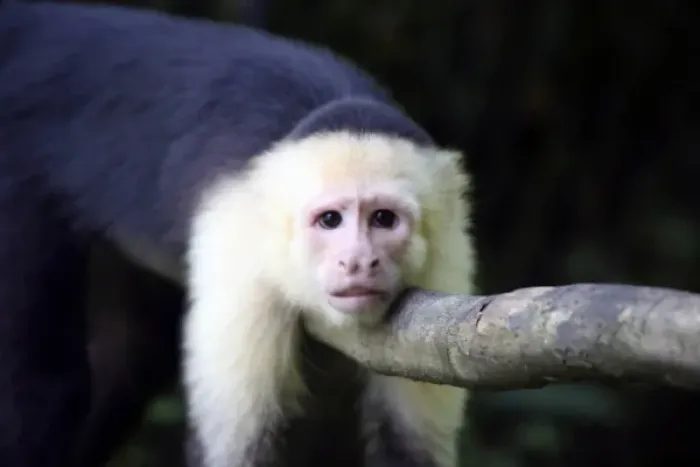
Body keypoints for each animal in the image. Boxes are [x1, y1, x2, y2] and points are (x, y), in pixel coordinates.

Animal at [0, 2, 475, 467]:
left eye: (383, 219)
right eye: (330, 221)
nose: (358, 261)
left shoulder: (448, 257)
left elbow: (411, 447)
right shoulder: (239, 253)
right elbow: (233, 451)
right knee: (46, 392)